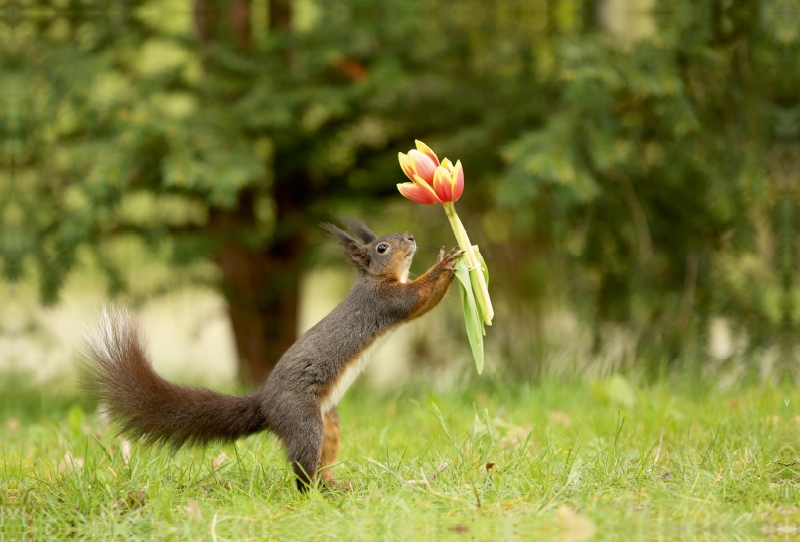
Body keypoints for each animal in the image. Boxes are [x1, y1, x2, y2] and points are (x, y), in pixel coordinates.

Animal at [81, 221, 462, 492]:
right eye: (382, 247)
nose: (410, 237)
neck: (377, 278)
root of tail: (265, 405)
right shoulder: (386, 302)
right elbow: (419, 298)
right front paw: (445, 264)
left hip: (329, 423)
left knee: (321, 460)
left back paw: (335, 485)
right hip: (303, 421)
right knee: (303, 471)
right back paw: (316, 493)